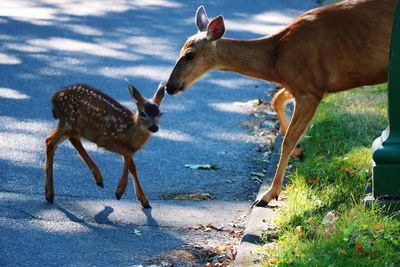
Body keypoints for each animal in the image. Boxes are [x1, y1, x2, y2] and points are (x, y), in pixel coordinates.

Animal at [45, 81, 166, 209]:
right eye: (143, 113)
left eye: (159, 113)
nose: (154, 127)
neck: (129, 130)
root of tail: (54, 97)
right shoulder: (105, 139)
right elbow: (128, 155)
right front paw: (119, 191)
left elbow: (132, 165)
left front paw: (144, 200)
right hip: (70, 121)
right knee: (52, 141)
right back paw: (50, 194)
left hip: (72, 126)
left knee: (61, 141)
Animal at [166, 0, 394, 207]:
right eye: (180, 51)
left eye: (190, 54)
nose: (169, 86)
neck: (274, 59)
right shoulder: (298, 85)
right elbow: (276, 101)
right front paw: (300, 152)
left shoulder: (310, 88)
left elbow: (287, 140)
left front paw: (268, 195)